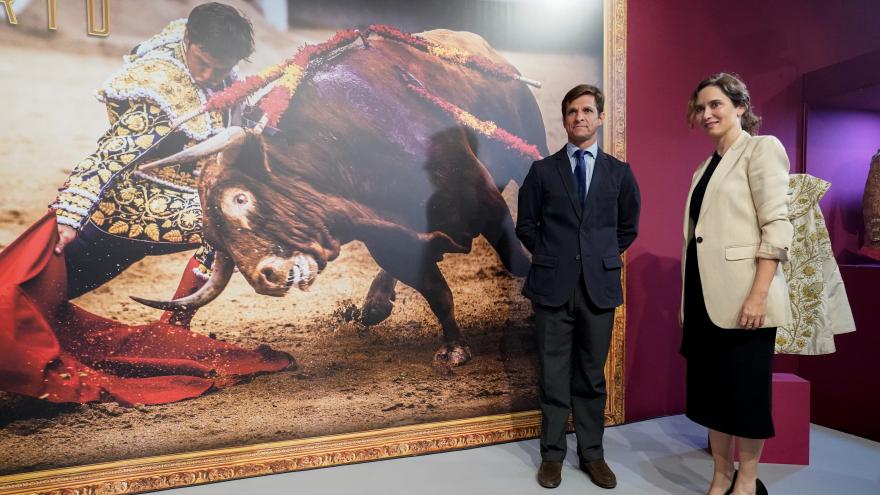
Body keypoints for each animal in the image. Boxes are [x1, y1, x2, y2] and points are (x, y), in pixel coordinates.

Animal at [134, 30, 548, 364]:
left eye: (239, 199)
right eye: (217, 239)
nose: (265, 278)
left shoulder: (485, 202)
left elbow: (516, 260)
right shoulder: (390, 244)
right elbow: (437, 293)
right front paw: (454, 347)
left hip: (529, 147)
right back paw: (375, 304)